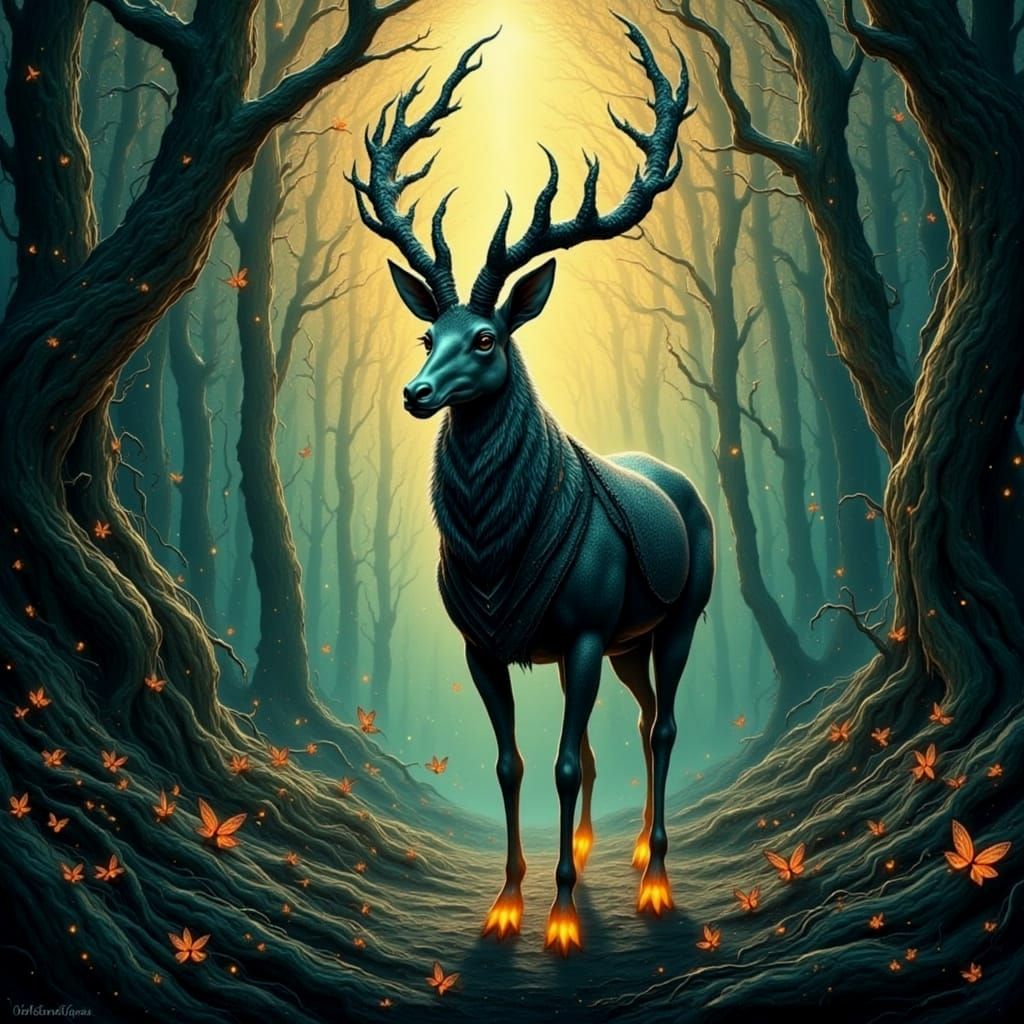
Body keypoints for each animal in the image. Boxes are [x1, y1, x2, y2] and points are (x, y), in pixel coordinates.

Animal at [350, 18, 713, 955]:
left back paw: (654, 876)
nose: (416, 393)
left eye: (485, 338)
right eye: (425, 335)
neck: (492, 555)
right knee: (629, 723)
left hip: (677, 619)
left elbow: (560, 762)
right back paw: (614, 853)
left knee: (663, 724)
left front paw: (561, 916)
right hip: (627, 642)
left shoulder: (581, 630)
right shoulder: (486, 644)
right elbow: (514, 762)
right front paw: (508, 901)